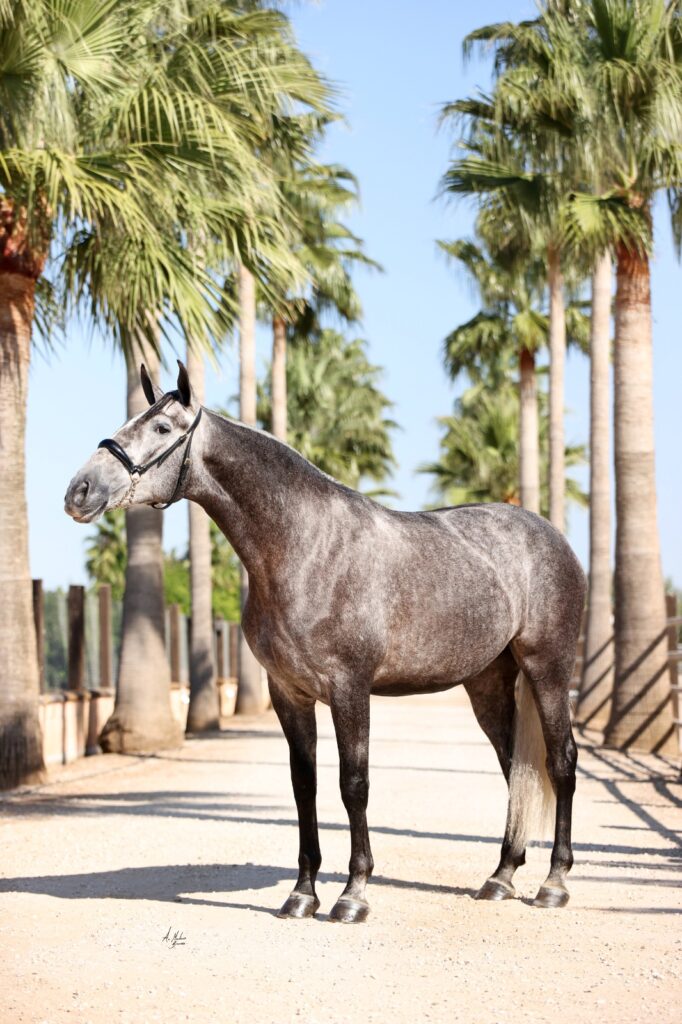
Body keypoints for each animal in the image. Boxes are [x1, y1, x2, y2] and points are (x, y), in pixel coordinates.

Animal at [64, 361, 586, 923]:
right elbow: (304, 787)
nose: (80, 490)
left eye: (161, 428)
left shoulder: (349, 688)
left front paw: (352, 894)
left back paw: (554, 882)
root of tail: (550, 535)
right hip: (487, 683)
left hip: (548, 670)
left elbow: (352, 785)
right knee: (515, 769)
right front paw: (302, 893)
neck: (306, 546)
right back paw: (501, 876)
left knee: (560, 762)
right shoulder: (288, 693)